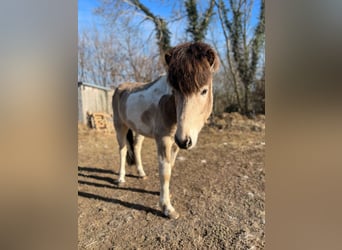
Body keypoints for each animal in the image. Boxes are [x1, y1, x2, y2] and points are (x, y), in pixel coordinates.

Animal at [112, 41, 219, 219]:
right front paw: (167, 208)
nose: (185, 141)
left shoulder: (175, 143)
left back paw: (141, 173)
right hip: (119, 125)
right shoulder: (164, 139)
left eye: (204, 91)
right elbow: (165, 170)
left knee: (136, 147)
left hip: (138, 129)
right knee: (122, 150)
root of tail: (120, 88)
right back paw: (120, 179)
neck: (169, 105)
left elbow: (171, 166)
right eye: (175, 91)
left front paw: (165, 194)